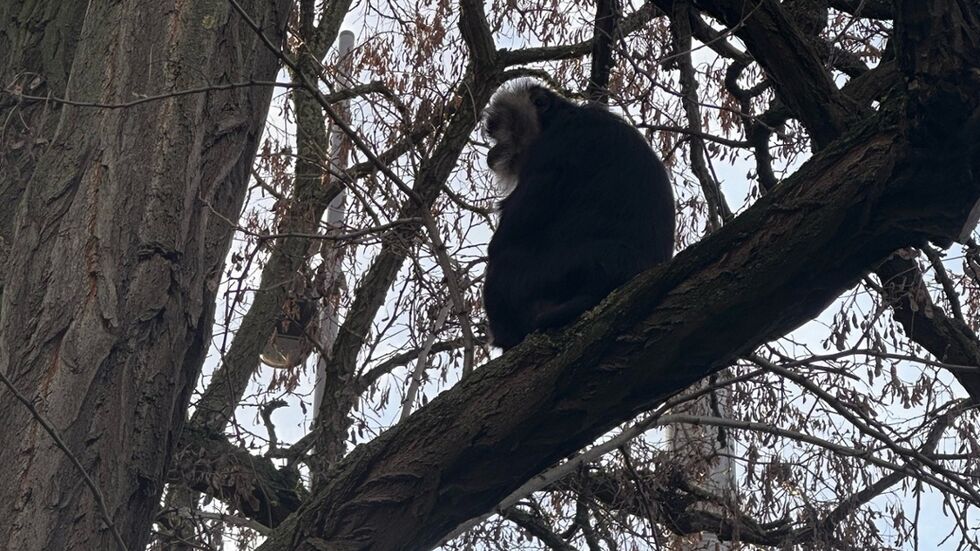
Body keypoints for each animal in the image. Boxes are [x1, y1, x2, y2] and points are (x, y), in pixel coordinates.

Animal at [482, 80, 675, 349]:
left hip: (558, 272)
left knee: (503, 267)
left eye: (500, 128)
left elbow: (506, 238)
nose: (493, 151)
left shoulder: (556, 146)